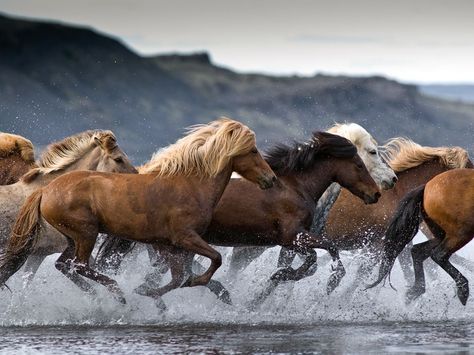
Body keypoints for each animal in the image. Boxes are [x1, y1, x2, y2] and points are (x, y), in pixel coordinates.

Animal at [0, 117, 278, 306]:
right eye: (253, 150)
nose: (271, 179)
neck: (189, 184)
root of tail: (46, 191)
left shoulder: (170, 245)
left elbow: (180, 276)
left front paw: (153, 295)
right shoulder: (185, 238)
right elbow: (213, 261)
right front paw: (167, 290)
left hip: (73, 238)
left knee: (66, 265)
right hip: (85, 234)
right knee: (79, 266)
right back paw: (117, 294)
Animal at [368, 169, 474, 306]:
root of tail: (426, 187)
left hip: (443, 234)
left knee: (418, 251)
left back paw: (415, 290)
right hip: (461, 233)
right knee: (438, 255)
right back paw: (463, 289)